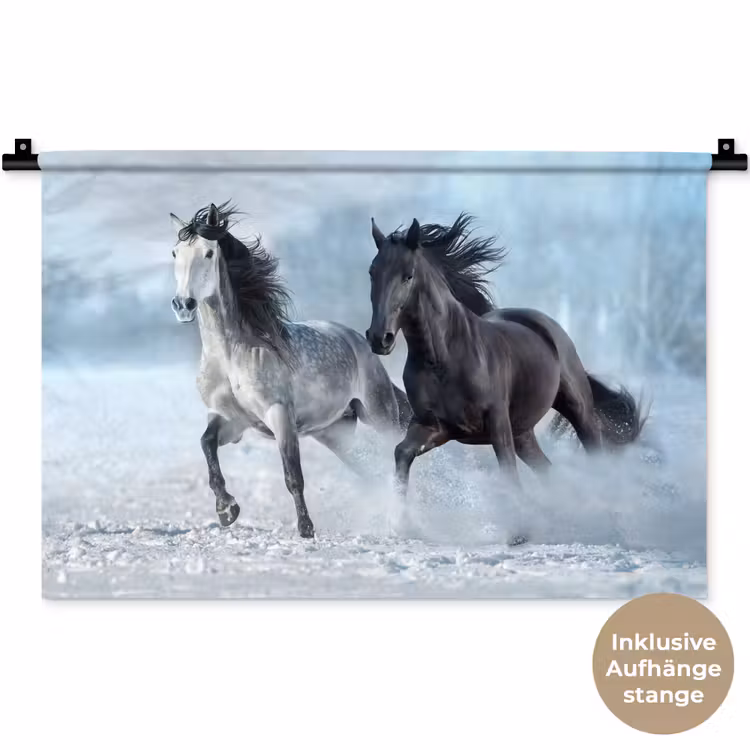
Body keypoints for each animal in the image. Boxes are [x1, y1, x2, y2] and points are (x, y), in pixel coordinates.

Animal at [170, 202, 411, 538]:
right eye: (175, 253)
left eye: (207, 253)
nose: (183, 305)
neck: (232, 356)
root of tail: (359, 342)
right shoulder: (230, 420)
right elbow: (207, 445)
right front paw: (227, 509)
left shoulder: (280, 415)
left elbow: (292, 475)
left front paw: (306, 528)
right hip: (334, 433)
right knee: (370, 470)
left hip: (380, 415)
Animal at [365, 212, 645, 504]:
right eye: (372, 273)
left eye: (408, 276)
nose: (380, 338)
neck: (443, 359)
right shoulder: (433, 427)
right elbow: (401, 453)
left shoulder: (497, 426)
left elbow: (510, 480)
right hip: (523, 432)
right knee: (547, 469)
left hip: (577, 410)